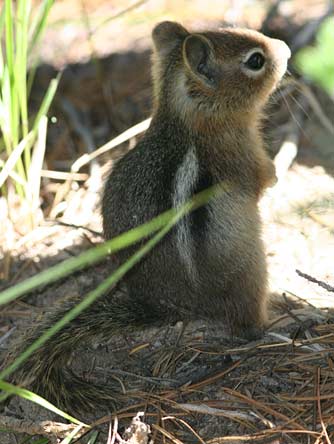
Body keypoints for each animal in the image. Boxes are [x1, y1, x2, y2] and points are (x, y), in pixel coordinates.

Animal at [3, 21, 290, 412]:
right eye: (256, 61)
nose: (286, 49)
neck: (186, 117)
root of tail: (170, 306)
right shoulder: (242, 154)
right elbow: (261, 179)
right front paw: (276, 173)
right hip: (251, 270)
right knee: (244, 321)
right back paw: (275, 322)